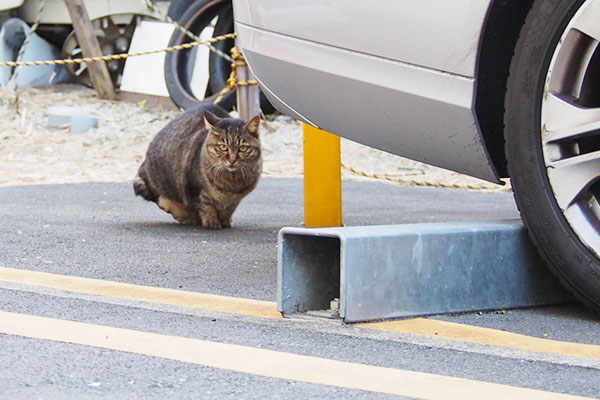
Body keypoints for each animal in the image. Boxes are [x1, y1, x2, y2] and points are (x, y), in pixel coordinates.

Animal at [135, 101, 262, 230]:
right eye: (223, 147)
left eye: (243, 148)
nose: (232, 160)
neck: (231, 184)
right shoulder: (195, 187)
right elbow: (206, 205)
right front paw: (211, 221)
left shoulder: (235, 199)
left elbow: (229, 209)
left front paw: (225, 220)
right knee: (164, 201)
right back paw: (188, 216)